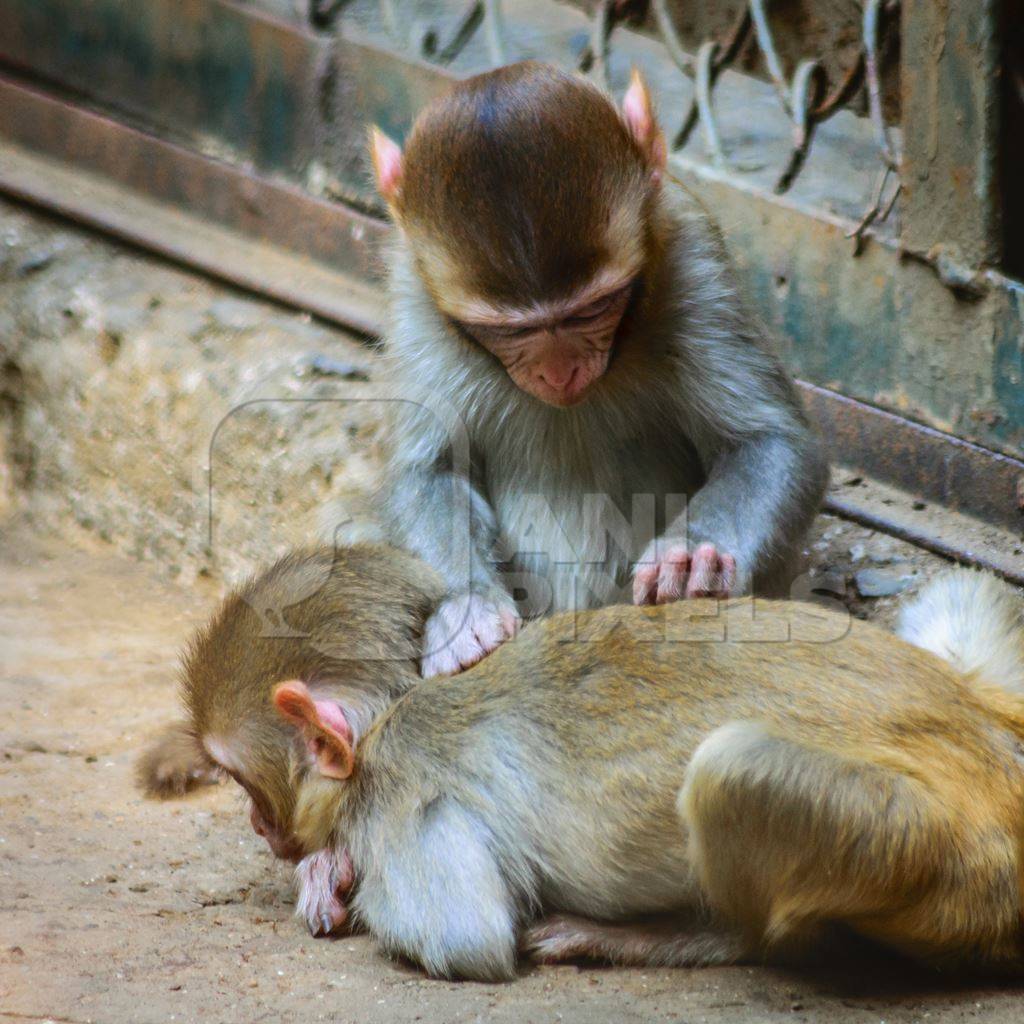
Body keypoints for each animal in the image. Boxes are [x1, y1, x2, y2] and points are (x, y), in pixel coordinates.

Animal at [142, 548, 1024, 978]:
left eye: (240, 780)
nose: (257, 826)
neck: (401, 709)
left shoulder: (397, 801)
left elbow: (467, 939)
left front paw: (328, 870)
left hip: (941, 874)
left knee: (732, 771)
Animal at [372, 59, 827, 675]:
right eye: (509, 330)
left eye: (593, 308)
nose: (559, 372)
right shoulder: (413, 297)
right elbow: (429, 470)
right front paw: (466, 608)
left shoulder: (694, 254)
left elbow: (771, 442)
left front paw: (690, 555)